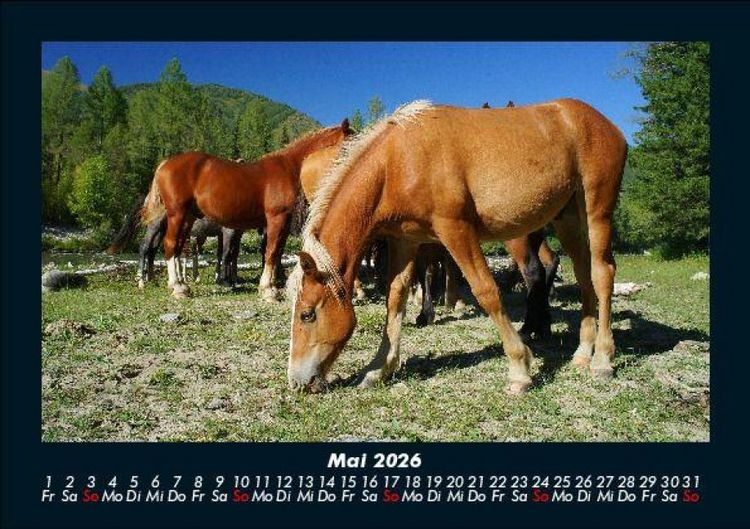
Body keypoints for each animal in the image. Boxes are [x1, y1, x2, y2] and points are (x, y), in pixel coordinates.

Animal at [140, 120, 352, 300]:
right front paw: (268, 290)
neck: (288, 166)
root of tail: (165, 164)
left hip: (188, 217)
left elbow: (277, 253)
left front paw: (273, 285)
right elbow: (271, 252)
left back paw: (182, 285)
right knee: (169, 244)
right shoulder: (276, 219)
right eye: (350, 141)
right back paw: (176, 287)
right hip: (177, 214)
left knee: (177, 247)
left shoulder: (282, 223)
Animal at [287, 99, 626, 394]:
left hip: (597, 211)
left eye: (307, 314)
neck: (399, 160)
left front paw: (520, 369)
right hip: (568, 218)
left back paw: (602, 359)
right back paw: (582, 353)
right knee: (584, 276)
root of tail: (605, 123)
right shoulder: (405, 241)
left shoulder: (455, 230)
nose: (297, 381)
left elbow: (487, 292)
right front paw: (379, 368)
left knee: (602, 274)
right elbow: (394, 299)